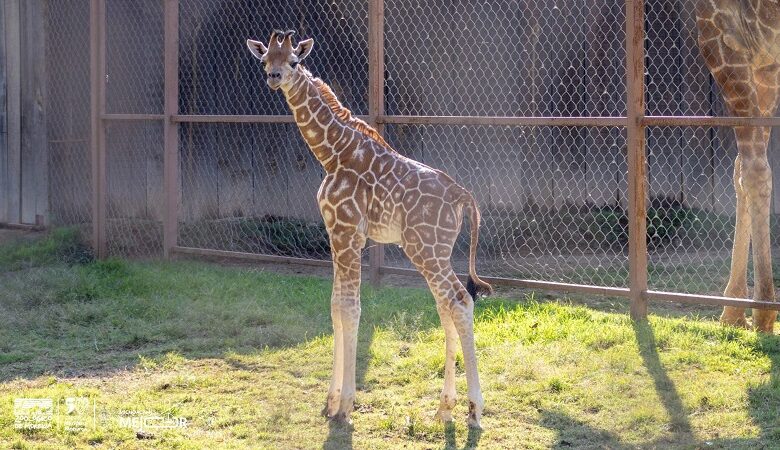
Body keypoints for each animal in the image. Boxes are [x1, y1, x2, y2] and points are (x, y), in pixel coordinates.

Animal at [246, 30, 493, 428]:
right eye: (266, 59)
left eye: (294, 61)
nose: (274, 77)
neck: (332, 154)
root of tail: (463, 196)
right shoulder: (335, 233)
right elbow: (335, 306)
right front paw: (330, 401)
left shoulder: (348, 232)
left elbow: (350, 308)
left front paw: (345, 406)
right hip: (435, 251)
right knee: (447, 305)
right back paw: (444, 407)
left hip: (425, 249)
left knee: (459, 300)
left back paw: (474, 410)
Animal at [696, 0, 780, 333]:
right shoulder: (766, 62)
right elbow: (741, 168)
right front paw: (734, 310)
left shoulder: (721, 32)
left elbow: (754, 170)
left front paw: (761, 311)